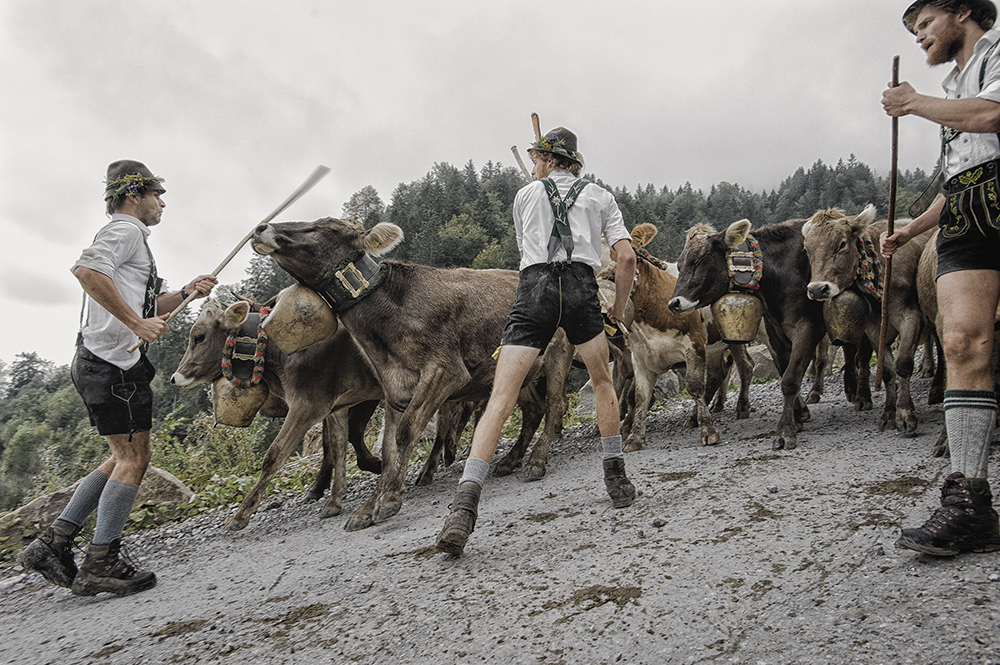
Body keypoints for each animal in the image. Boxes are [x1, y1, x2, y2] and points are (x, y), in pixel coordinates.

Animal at [252, 217, 572, 528]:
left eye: (324, 227)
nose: (260, 228)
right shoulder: (395, 388)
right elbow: (389, 448)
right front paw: (368, 508)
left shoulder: (446, 371)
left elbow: (406, 433)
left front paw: (390, 499)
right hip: (520, 370)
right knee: (534, 409)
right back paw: (510, 459)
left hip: (558, 351)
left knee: (556, 404)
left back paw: (536, 461)